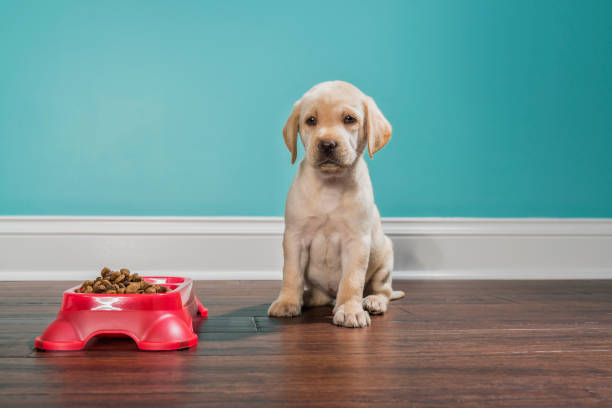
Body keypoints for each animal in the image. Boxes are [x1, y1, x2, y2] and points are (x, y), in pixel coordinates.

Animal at [268, 80, 404, 328]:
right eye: (311, 120)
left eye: (349, 119)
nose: (327, 144)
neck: (330, 184)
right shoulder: (294, 238)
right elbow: (291, 273)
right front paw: (287, 302)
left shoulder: (357, 241)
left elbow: (352, 280)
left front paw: (350, 310)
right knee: (319, 295)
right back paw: (306, 297)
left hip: (385, 258)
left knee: (383, 290)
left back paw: (372, 301)